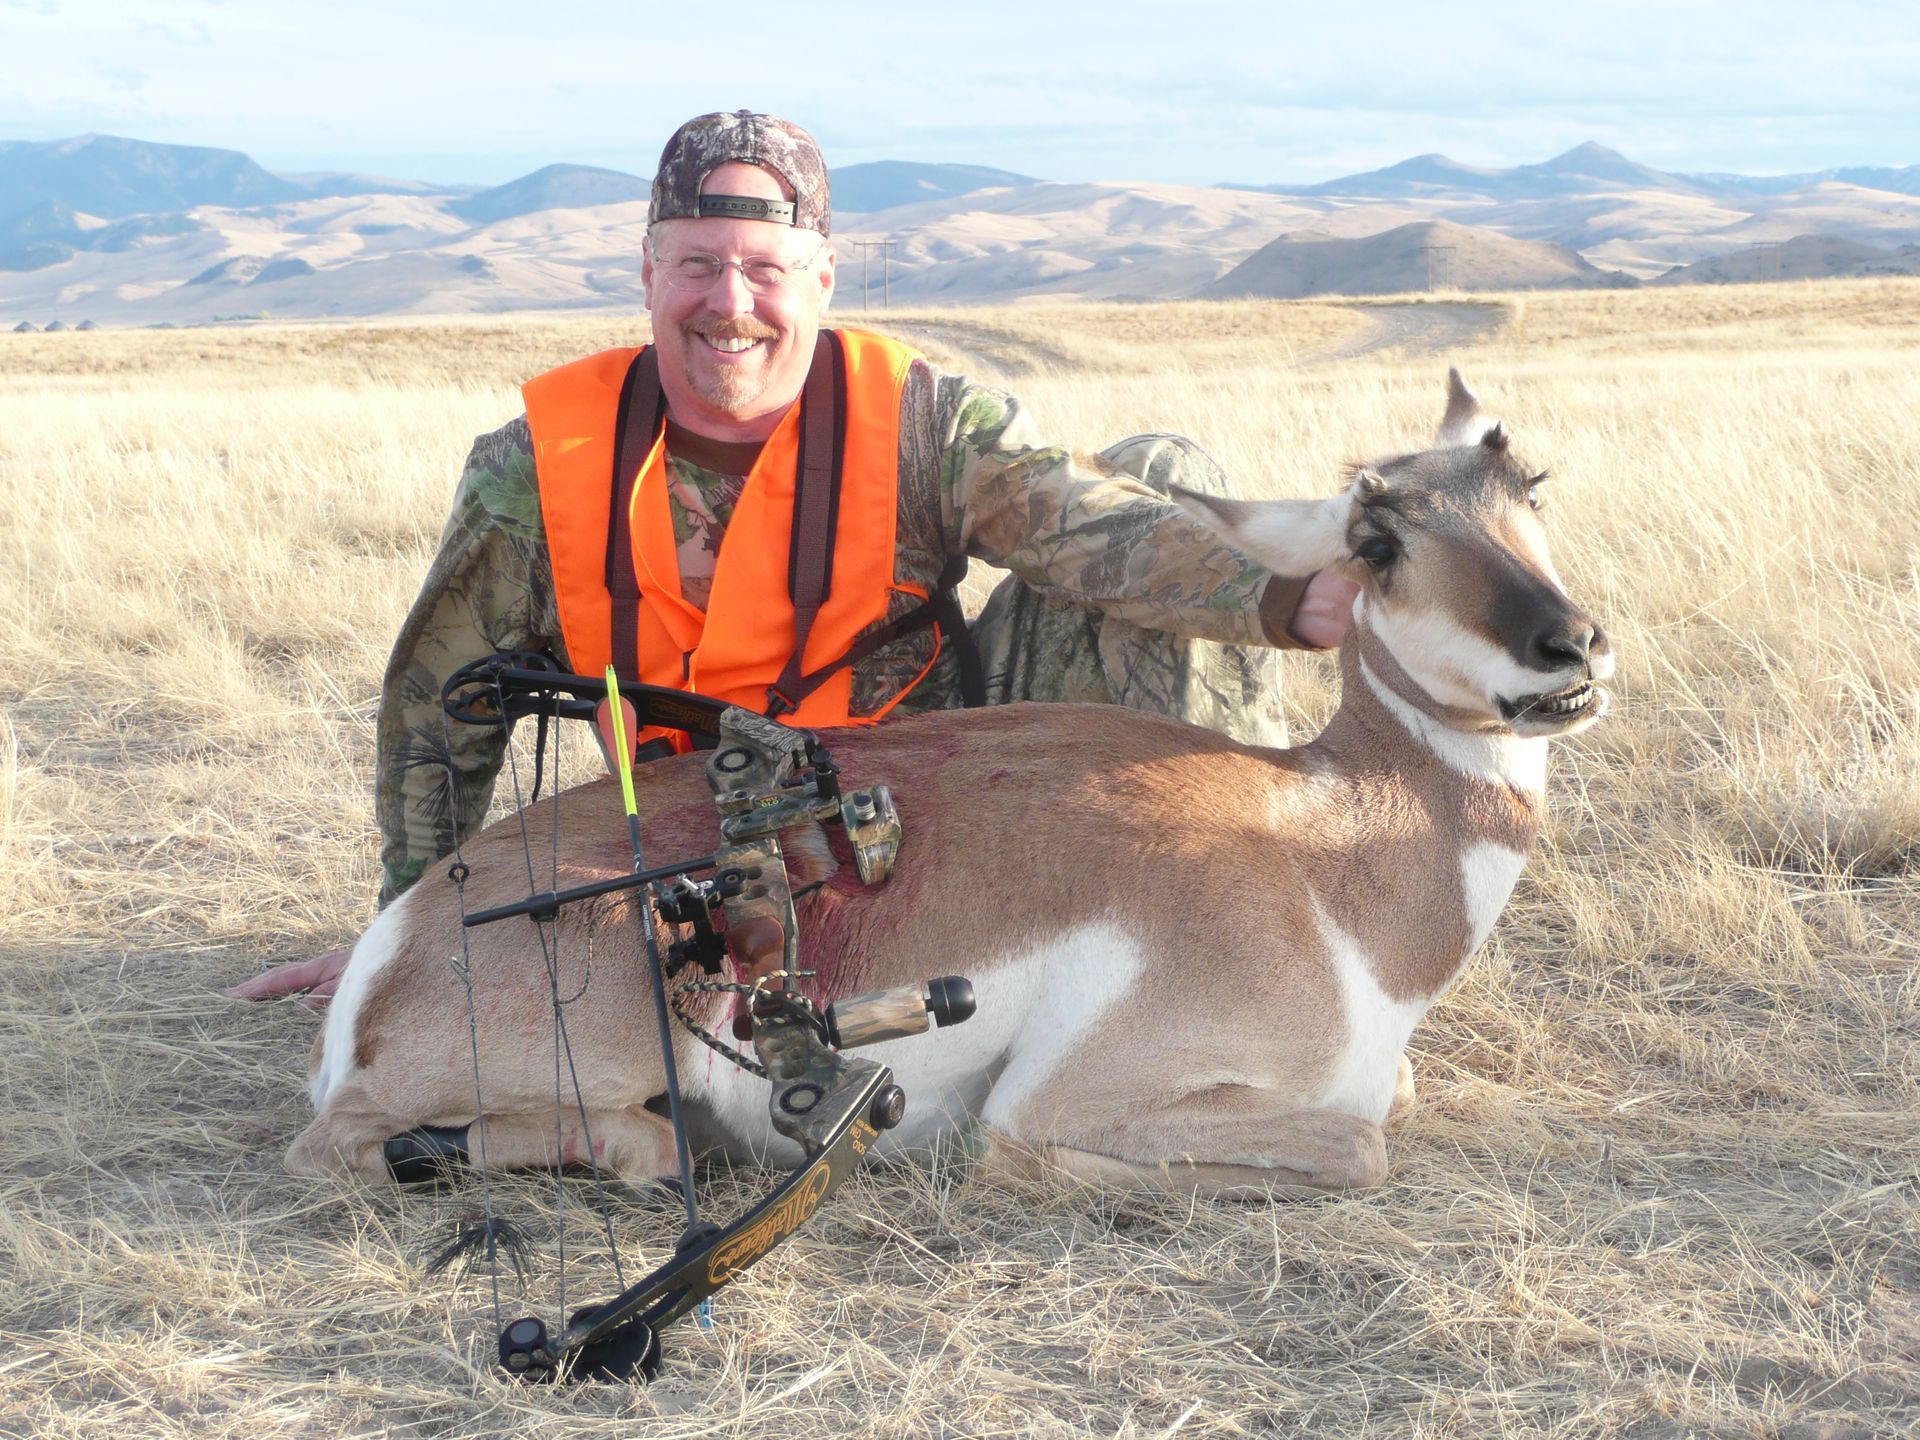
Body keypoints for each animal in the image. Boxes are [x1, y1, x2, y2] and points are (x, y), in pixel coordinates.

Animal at [288, 371, 1612, 1198]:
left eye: (1529, 490)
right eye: (1378, 544)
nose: (1572, 647)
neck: (1325, 853)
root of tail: (406, 932)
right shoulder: (1077, 1097)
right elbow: (1355, 1148)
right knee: (343, 1143)